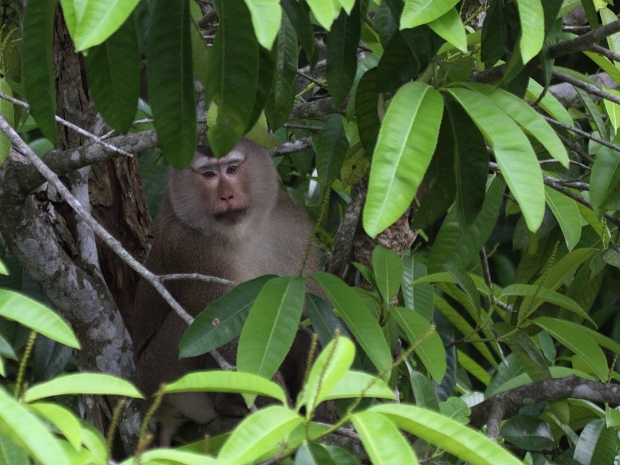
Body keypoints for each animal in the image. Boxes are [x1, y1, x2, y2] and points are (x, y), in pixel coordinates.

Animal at [134, 139, 320, 446]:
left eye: (232, 169)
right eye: (209, 174)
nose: (227, 196)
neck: (241, 234)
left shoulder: (291, 224)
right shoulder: (194, 250)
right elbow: (226, 328)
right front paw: (272, 407)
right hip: (161, 374)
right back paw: (229, 405)